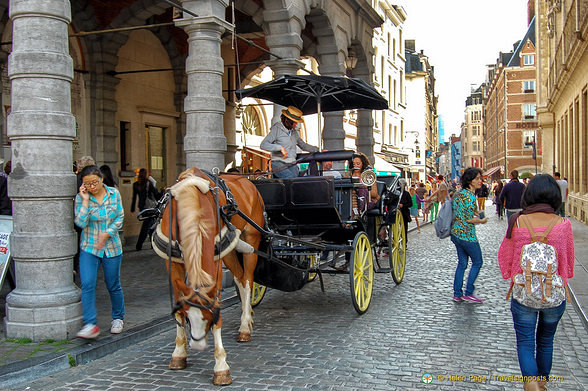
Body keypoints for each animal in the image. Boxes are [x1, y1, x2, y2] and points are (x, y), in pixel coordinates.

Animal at [152, 166, 264, 386]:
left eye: (211, 317)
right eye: (188, 316)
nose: (197, 346)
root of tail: (248, 181)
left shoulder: (215, 259)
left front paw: (221, 367)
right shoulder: (172, 262)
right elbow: (177, 303)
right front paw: (179, 353)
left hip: (251, 239)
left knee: (248, 281)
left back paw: (245, 326)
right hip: (230, 250)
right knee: (239, 278)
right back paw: (248, 316)